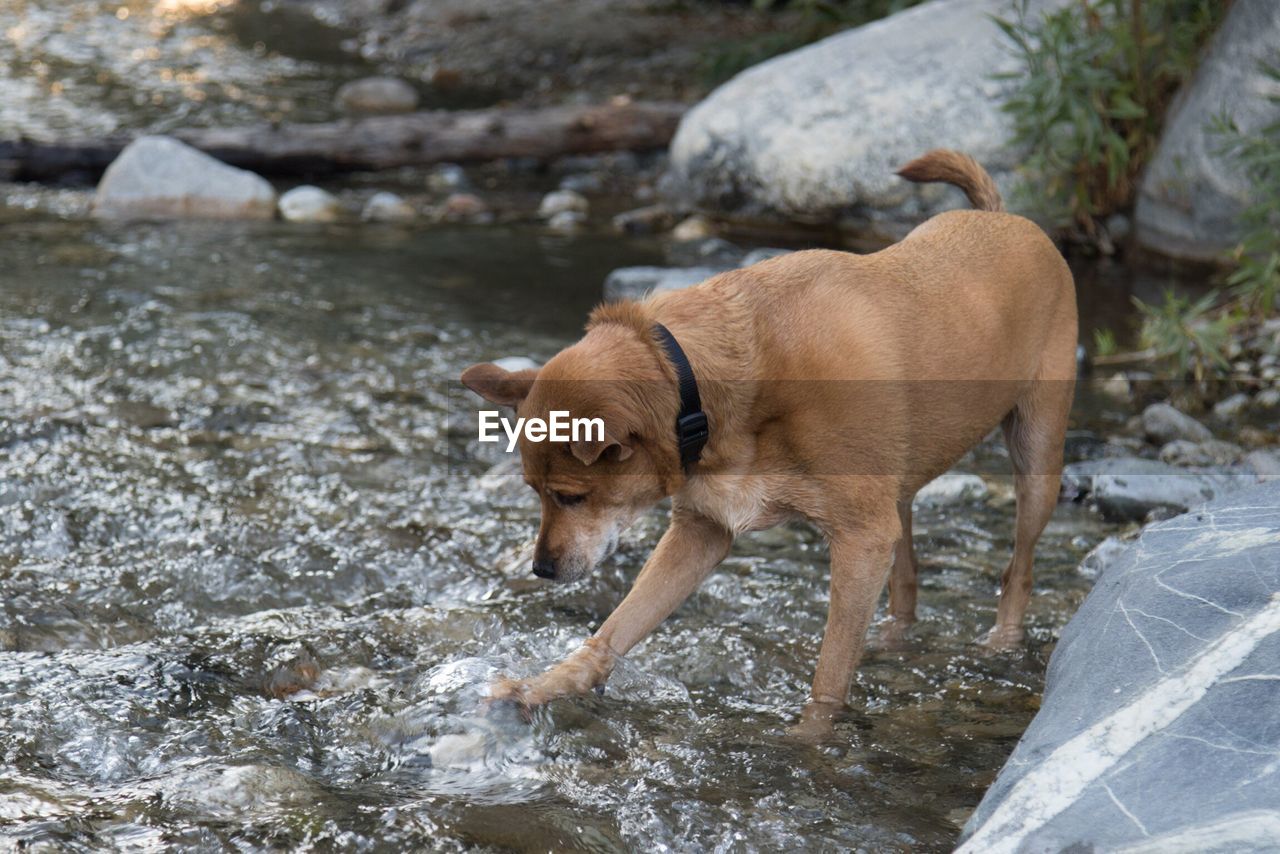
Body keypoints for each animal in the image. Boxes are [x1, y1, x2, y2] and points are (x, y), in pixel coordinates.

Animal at [465, 151, 1075, 737]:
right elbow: (614, 631)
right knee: (907, 572)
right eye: (532, 491)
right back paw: (894, 635)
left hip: (1036, 457)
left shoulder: (859, 540)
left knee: (1019, 567)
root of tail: (1003, 216)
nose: (541, 570)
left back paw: (1002, 640)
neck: (709, 380)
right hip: (896, 490)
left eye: (571, 496)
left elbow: (830, 675)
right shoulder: (702, 530)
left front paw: (809, 742)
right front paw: (539, 688)